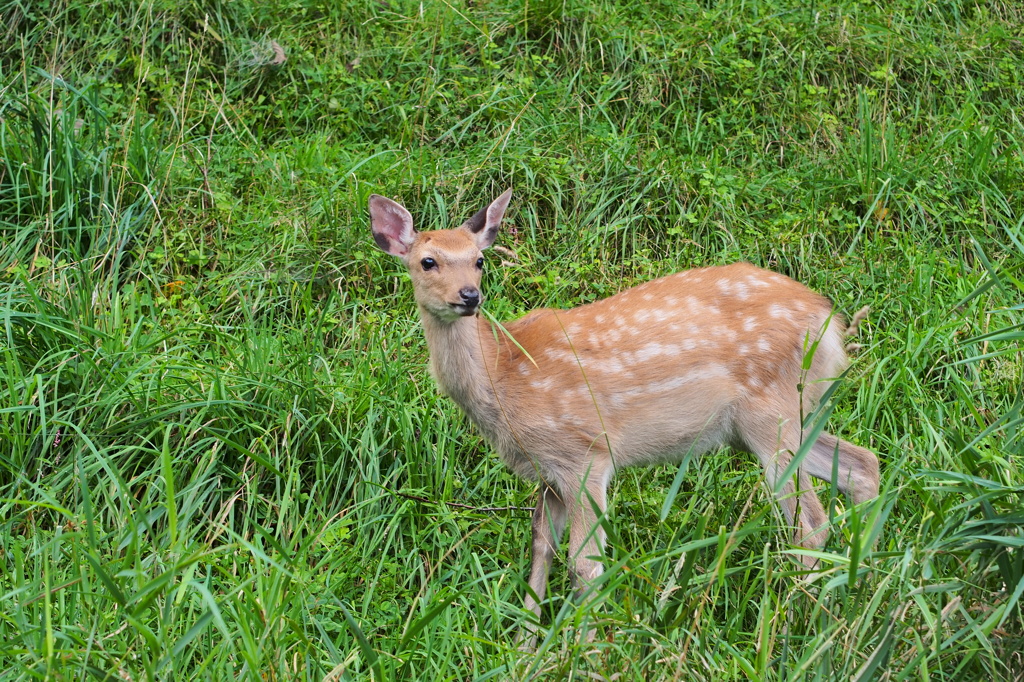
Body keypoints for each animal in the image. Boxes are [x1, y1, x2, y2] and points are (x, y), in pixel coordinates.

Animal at [368, 186, 880, 643]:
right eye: (427, 262)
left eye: (479, 260)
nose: (469, 296)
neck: (505, 377)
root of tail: (829, 324)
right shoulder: (548, 471)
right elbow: (540, 546)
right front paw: (525, 647)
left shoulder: (586, 455)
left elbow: (585, 563)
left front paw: (585, 651)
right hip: (783, 417)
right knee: (862, 464)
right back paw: (857, 595)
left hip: (769, 412)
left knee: (810, 524)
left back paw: (799, 626)